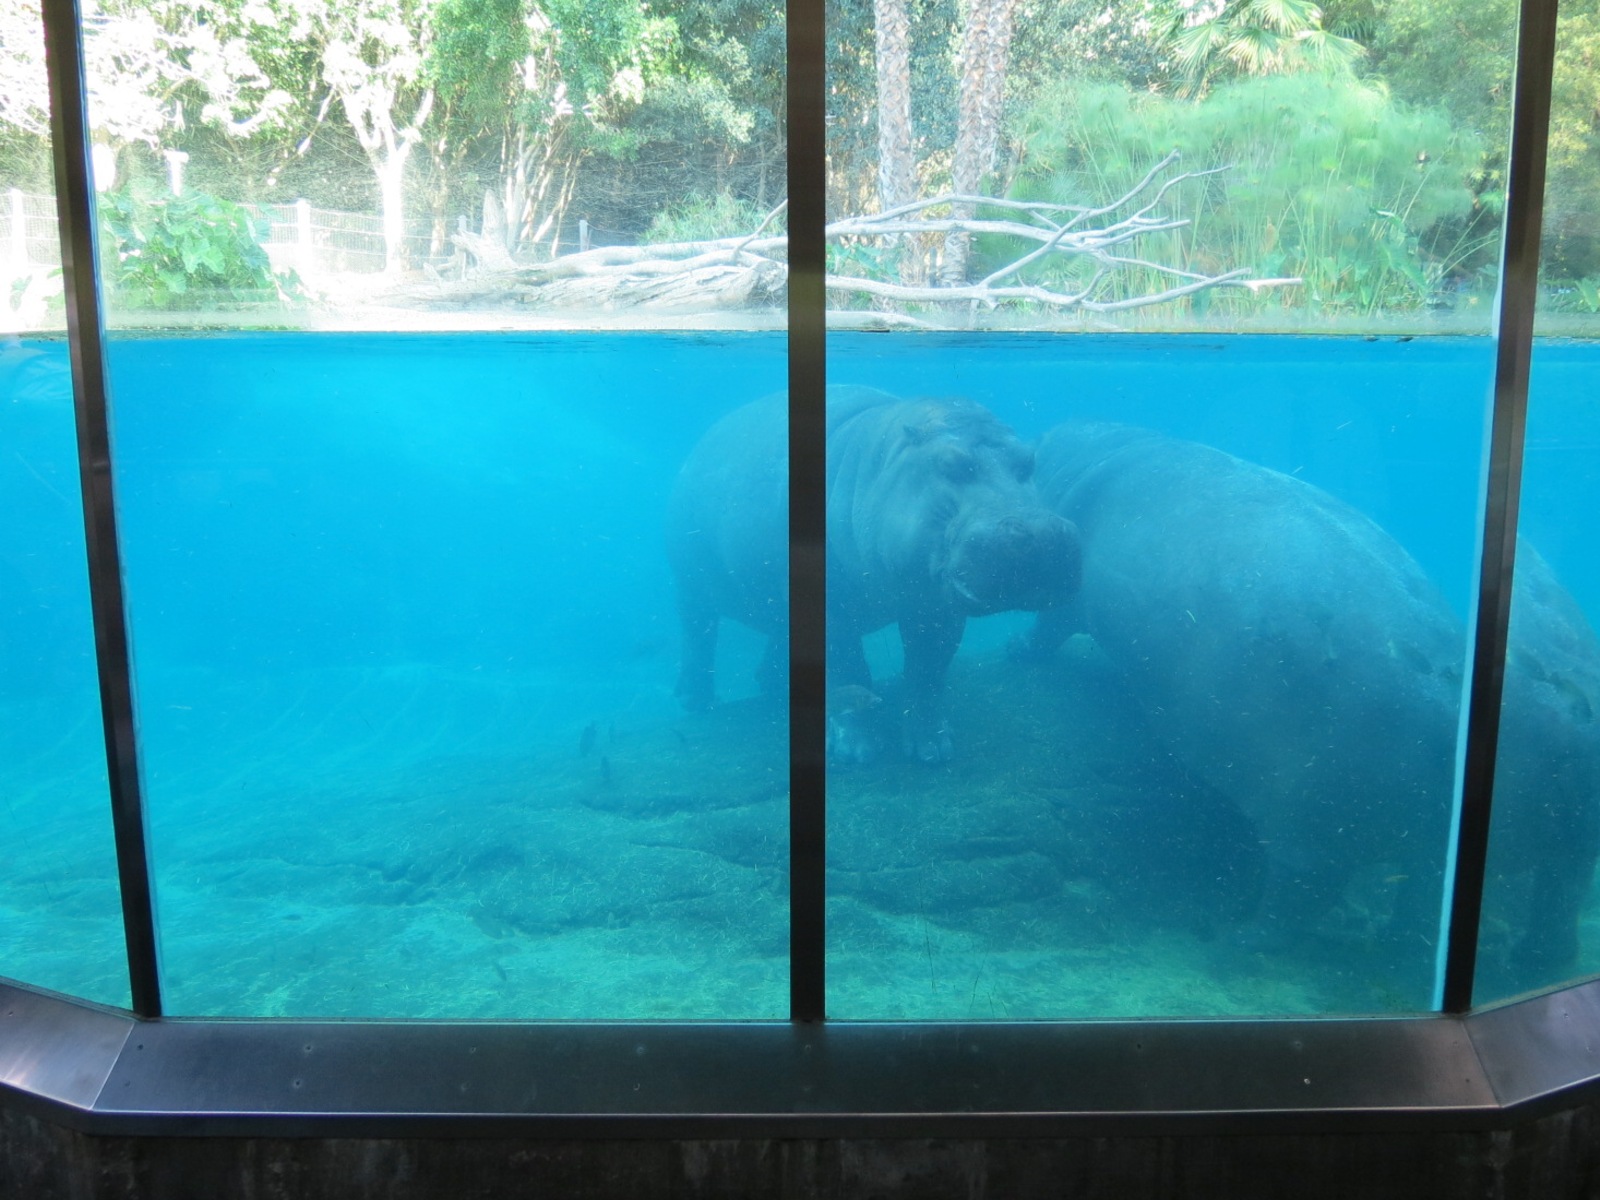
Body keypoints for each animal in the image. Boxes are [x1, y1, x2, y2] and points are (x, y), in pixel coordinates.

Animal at [668, 386, 1080, 761]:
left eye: (1029, 461)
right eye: (949, 464)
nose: (1045, 534)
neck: (877, 460)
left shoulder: (935, 604)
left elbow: (927, 670)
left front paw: (933, 749)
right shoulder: (829, 608)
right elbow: (846, 665)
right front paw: (856, 752)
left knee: (775, 631)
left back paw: (771, 686)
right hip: (690, 585)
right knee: (698, 633)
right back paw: (695, 701)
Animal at [1016, 419, 1600, 998]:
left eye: (1034, 451)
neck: (1092, 451)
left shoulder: (1067, 594)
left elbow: (1048, 631)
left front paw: (1015, 655)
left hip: (1309, 816)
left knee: (1301, 893)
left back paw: (1237, 941)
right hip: (1512, 843)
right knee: (1531, 892)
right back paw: (1503, 957)